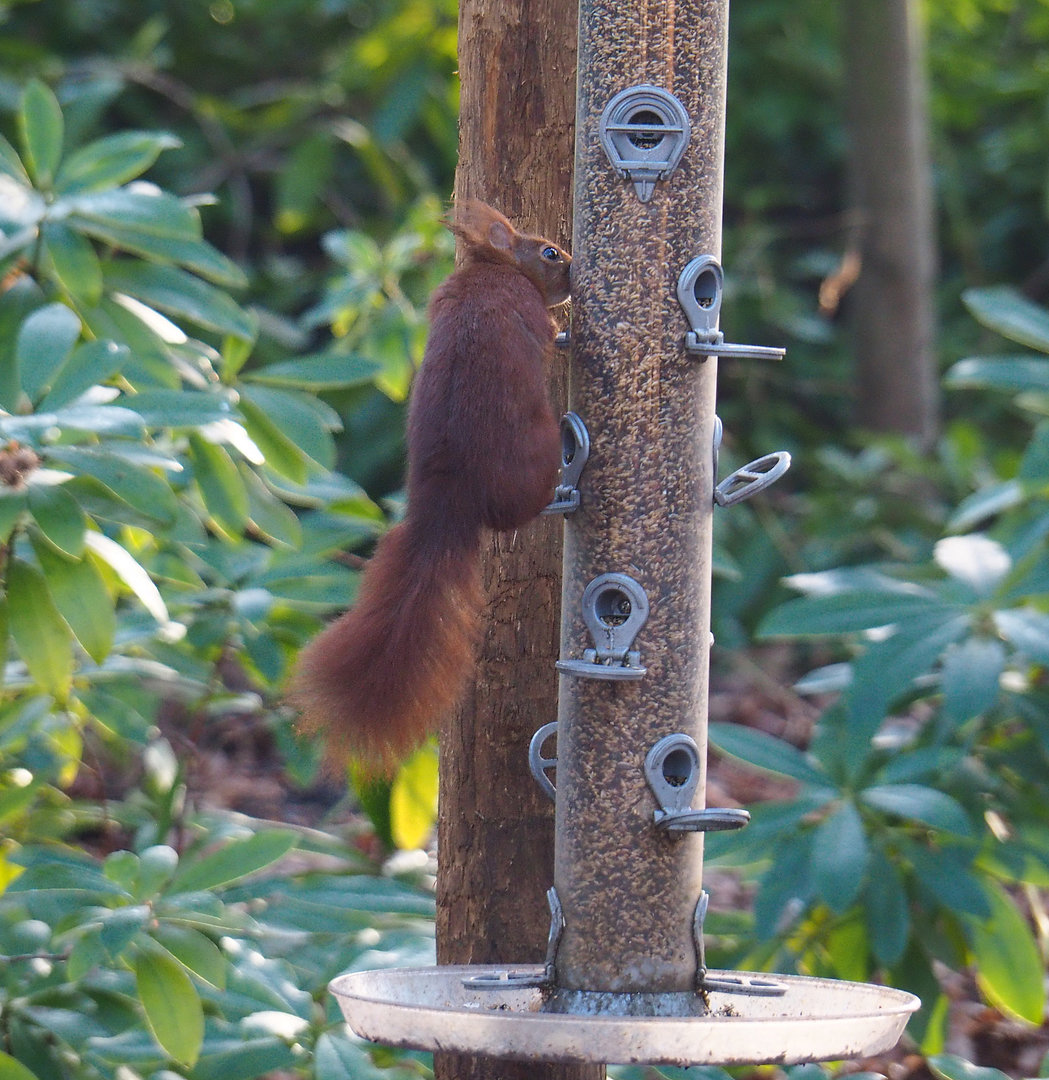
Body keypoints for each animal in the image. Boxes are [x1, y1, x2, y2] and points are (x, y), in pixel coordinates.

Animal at [288, 200, 572, 771]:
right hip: (532, 460)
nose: (575, 275)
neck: (492, 270)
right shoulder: (529, 309)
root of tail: (446, 505)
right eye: (551, 252)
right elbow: (548, 329)